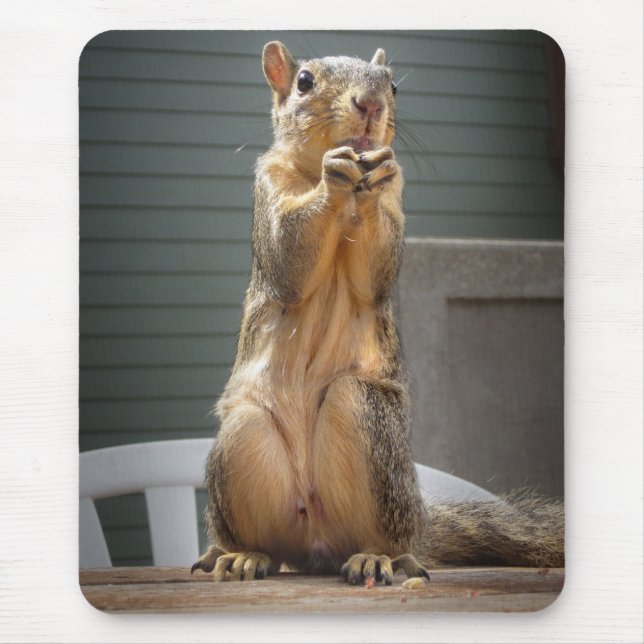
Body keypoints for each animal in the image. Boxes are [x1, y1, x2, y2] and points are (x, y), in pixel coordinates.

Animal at [191, 41, 565, 584]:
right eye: (304, 81)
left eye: (392, 85)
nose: (370, 105)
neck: (347, 198)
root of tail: (315, 543)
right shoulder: (268, 189)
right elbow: (286, 255)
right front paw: (333, 174)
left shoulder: (392, 198)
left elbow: (375, 272)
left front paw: (372, 171)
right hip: (244, 436)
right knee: (270, 544)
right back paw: (242, 554)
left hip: (366, 420)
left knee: (386, 535)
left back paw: (378, 556)